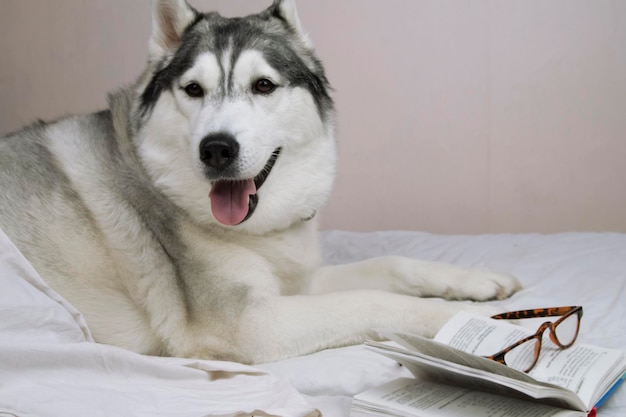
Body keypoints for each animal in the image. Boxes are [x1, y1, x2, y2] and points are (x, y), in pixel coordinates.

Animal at [0, 0, 516, 362]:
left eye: (263, 85)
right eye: (193, 89)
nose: (216, 148)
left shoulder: (297, 283)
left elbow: (391, 265)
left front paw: (474, 281)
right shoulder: (254, 323)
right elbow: (373, 300)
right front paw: (470, 320)